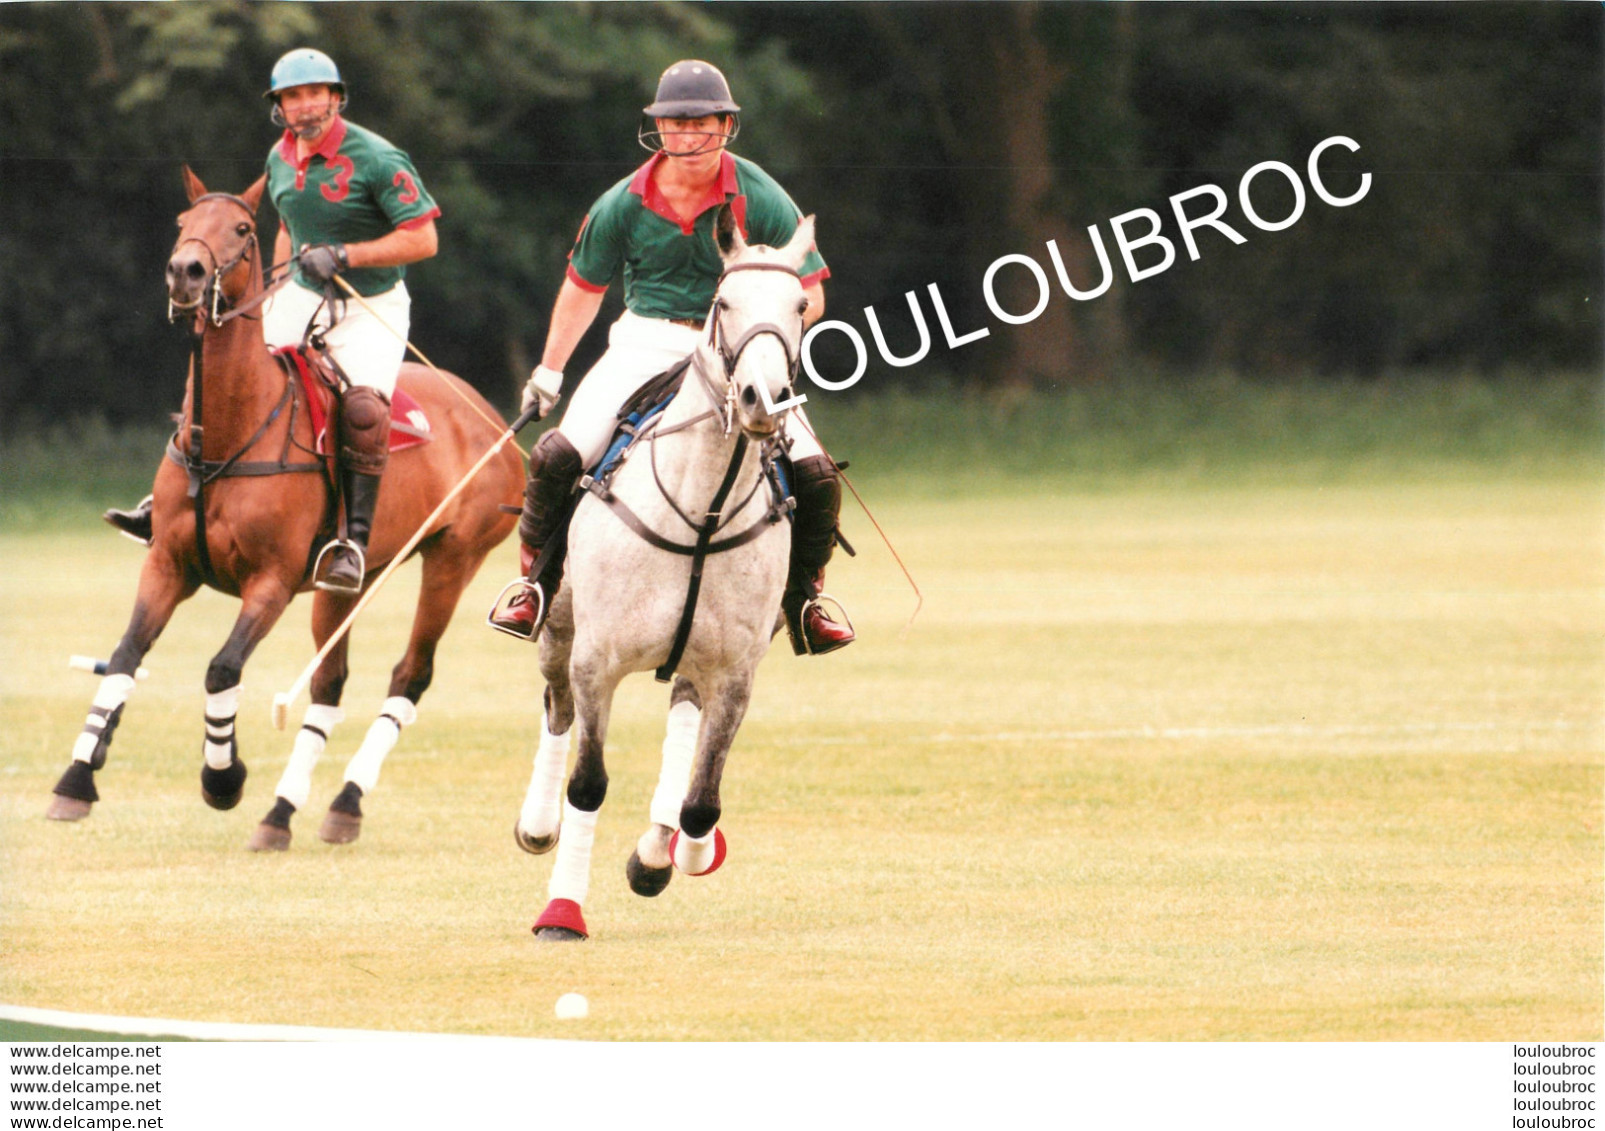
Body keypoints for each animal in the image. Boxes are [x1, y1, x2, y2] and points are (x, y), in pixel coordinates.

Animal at [45, 167, 520, 847]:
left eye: (243, 229)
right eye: (183, 223)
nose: (185, 272)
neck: (228, 433)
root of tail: (491, 417)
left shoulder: (269, 581)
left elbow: (222, 669)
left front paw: (223, 779)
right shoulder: (166, 564)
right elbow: (126, 656)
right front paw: (76, 781)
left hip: (455, 557)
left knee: (410, 674)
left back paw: (344, 801)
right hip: (347, 582)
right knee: (329, 681)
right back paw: (281, 813)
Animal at [513, 206, 815, 936]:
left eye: (799, 305)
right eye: (723, 302)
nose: (763, 398)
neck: (701, 511)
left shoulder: (735, 669)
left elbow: (702, 800)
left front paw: (678, 854)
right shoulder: (596, 660)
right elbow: (589, 781)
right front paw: (562, 911)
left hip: (694, 655)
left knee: (681, 710)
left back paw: (658, 846)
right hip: (558, 626)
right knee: (556, 708)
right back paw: (537, 824)